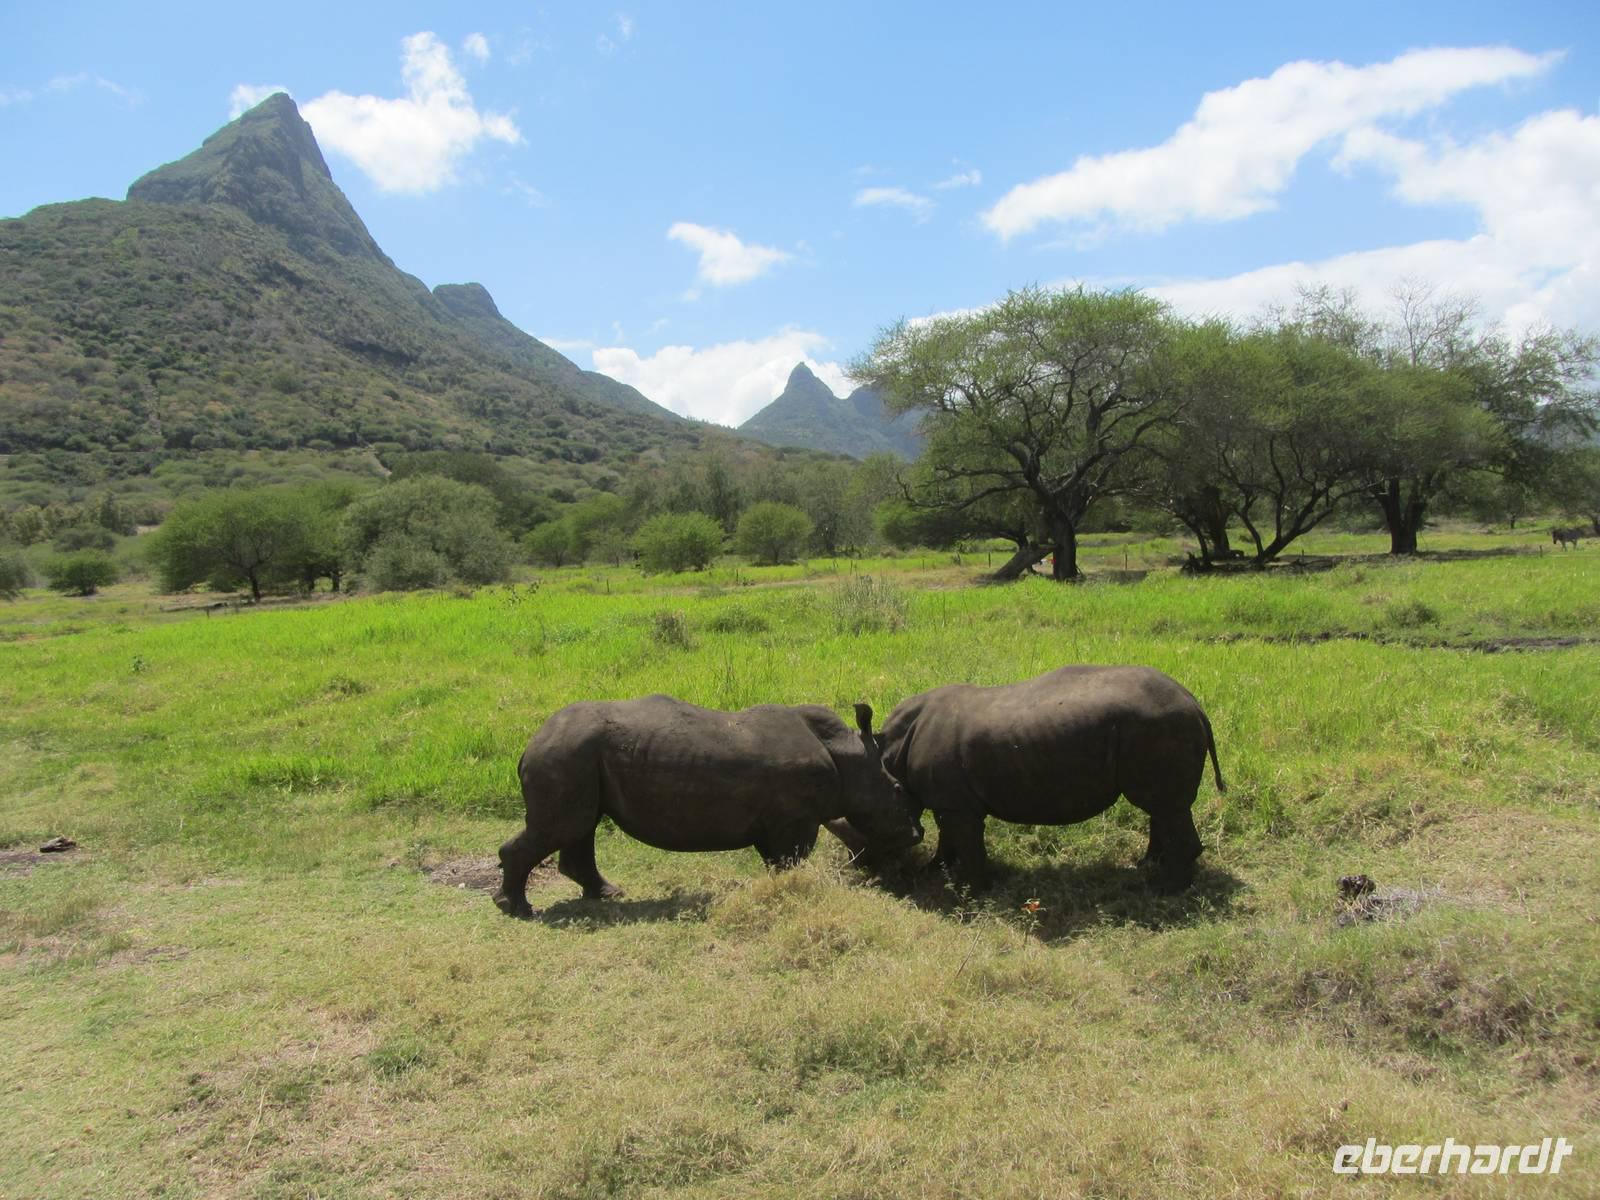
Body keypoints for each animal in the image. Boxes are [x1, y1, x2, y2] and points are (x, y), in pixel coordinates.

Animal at [493, 696, 922, 918]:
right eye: (898, 788)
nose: (917, 835)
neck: (847, 753)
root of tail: (531, 743)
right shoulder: (794, 820)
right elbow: (791, 861)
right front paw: (793, 892)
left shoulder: (776, 821)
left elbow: (775, 861)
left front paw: (777, 890)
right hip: (565, 755)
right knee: (566, 825)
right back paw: (518, 909)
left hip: (575, 755)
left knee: (581, 824)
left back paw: (607, 894)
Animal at [877, 666, 1224, 893]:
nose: (881, 873)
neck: (889, 755)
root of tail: (1195, 705)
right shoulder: (948, 799)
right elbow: (948, 838)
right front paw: (932, 871)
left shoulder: (955, 803)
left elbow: (966, 843)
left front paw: (975, 892)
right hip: (1159, 727)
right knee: (1163, 807)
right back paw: (1147, 867)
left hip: (1161, 725)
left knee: (1166, 806)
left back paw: (1166, 890)